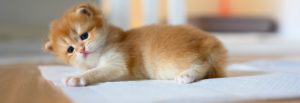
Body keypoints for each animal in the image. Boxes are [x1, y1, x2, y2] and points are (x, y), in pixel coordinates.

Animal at [44, 3, 227, 86]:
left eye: (84, 35)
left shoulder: (117, 63)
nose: (81, 50)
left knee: (203, 64)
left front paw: (76, 78)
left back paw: (187, 75)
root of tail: (210, 43)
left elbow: (96, 72)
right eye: (70, 50)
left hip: (171, 61)